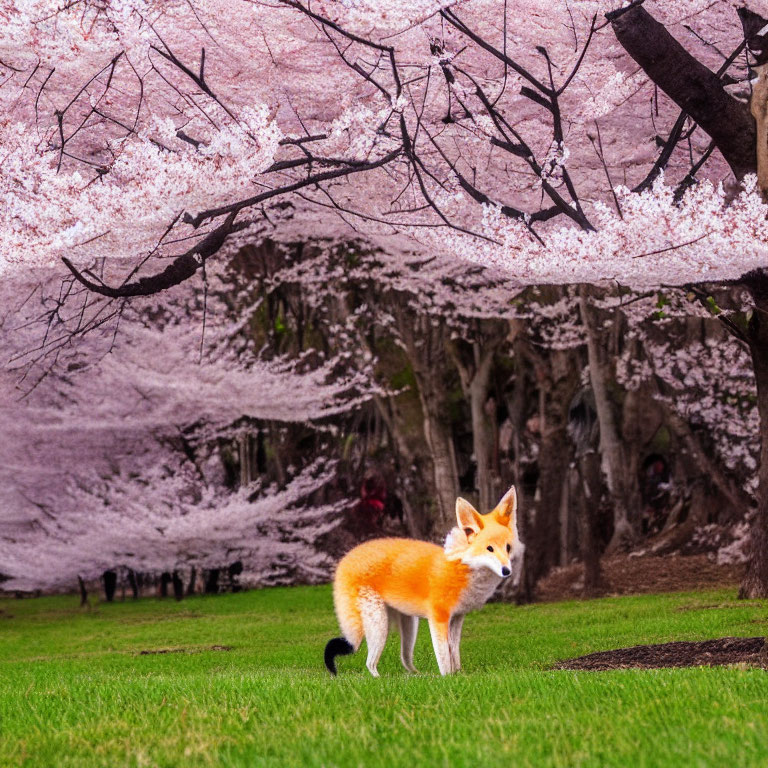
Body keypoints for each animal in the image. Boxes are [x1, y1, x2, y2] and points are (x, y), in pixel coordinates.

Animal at [320, 486, 524, 680]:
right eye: (489, 549)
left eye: (508, 548)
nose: (507, 571)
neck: (462, 568)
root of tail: (347, 558)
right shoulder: (438, 618)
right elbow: (444, 659)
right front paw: (447, 679)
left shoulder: (457, 618)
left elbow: (454, 654)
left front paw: (459, 675)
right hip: (379, 626)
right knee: (369, 663)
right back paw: (381, 679)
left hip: (409, 626)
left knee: (405, 661)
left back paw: (418, 676)